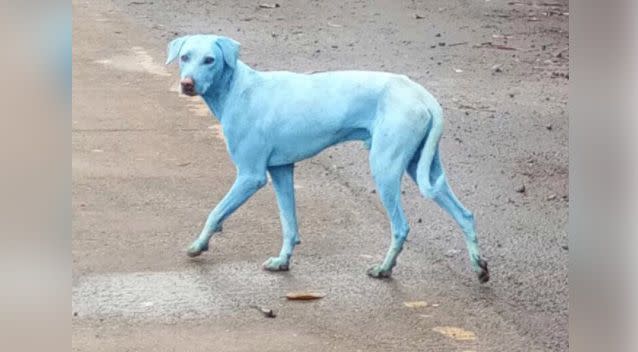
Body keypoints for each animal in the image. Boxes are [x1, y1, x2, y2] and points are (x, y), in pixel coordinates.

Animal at [165, 35, 490, 284]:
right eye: (185, 57)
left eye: (210, 60)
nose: (187, 84)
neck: (238, 88)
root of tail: (421, 94)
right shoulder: (281, 170)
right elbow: (289, 224)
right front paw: (283, 261)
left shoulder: (250, 176)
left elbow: (215, 212)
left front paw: (198, 245)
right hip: (423, 167)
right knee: (464, 214)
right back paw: (479, 267)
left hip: (385, 168)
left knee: (401, 226)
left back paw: (384, 269)